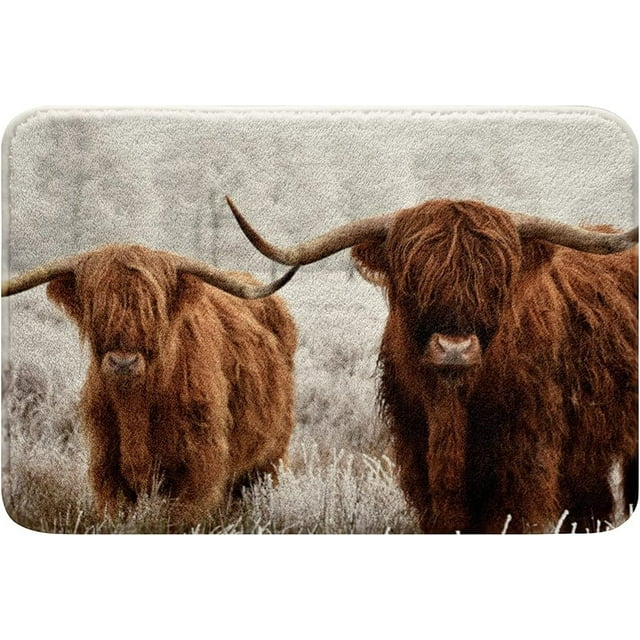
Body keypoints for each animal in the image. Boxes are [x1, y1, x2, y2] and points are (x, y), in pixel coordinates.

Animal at [2, 244, 298, 527]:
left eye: (153, 309)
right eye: (96, 306)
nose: (123, 363)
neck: (136, 405)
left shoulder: (197, 470)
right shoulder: (106, 464)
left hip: (270, 457)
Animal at [225, 196, 638, 533]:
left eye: (496, 281)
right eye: (413, 280)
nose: (454, 348)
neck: (450, 407)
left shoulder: (522, 467)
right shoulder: (418, 459)